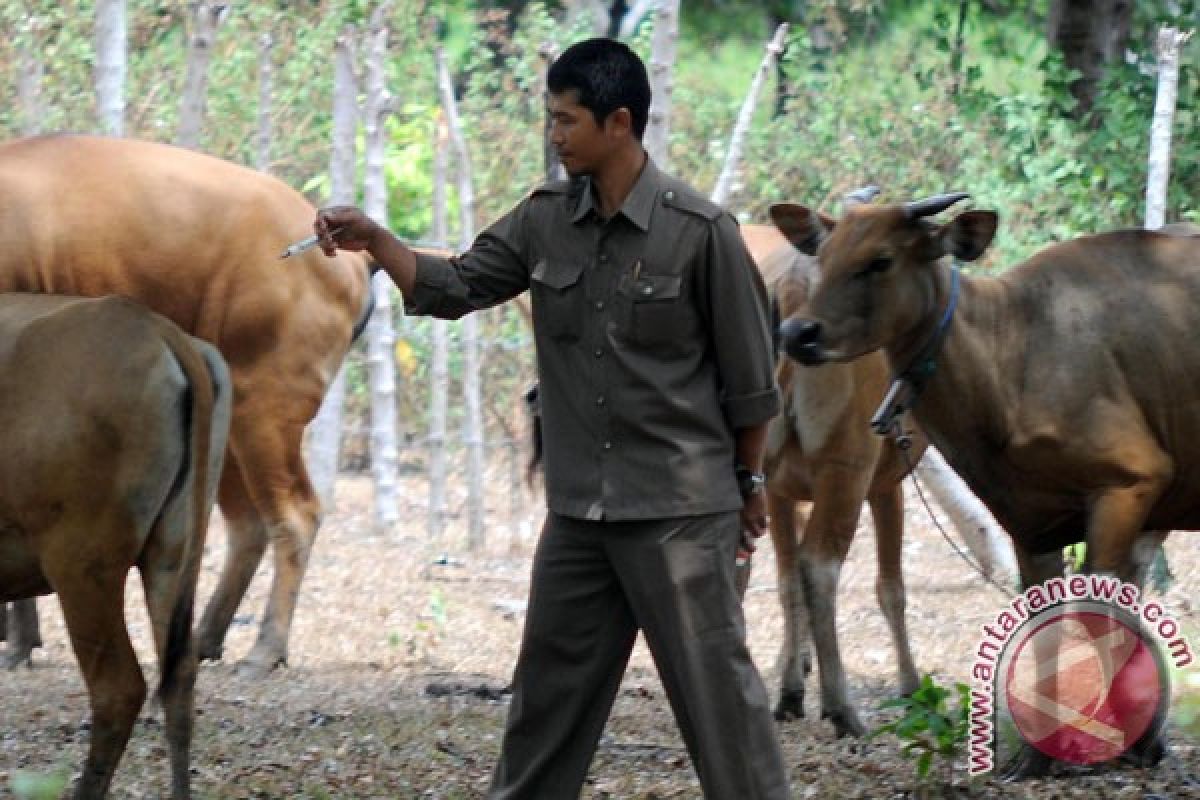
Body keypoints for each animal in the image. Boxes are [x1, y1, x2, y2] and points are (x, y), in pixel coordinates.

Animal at [744, 221, 921, 734]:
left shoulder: (780, 487)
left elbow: (786, 582)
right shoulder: (884, 482)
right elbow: (890, 588)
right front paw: (911, 687)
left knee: (779, 570)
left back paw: (789, 692)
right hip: (850, 465)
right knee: (819, 566)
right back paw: (841, 707)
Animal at [768, 194, 1200, 777]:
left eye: (881, 260)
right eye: (825, 254)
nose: (797, 333)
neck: (1012, 354)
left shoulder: (1130, 486)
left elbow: (1098, 617)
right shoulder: (1029, 518)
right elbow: (1050, 624)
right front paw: (1040, 756)